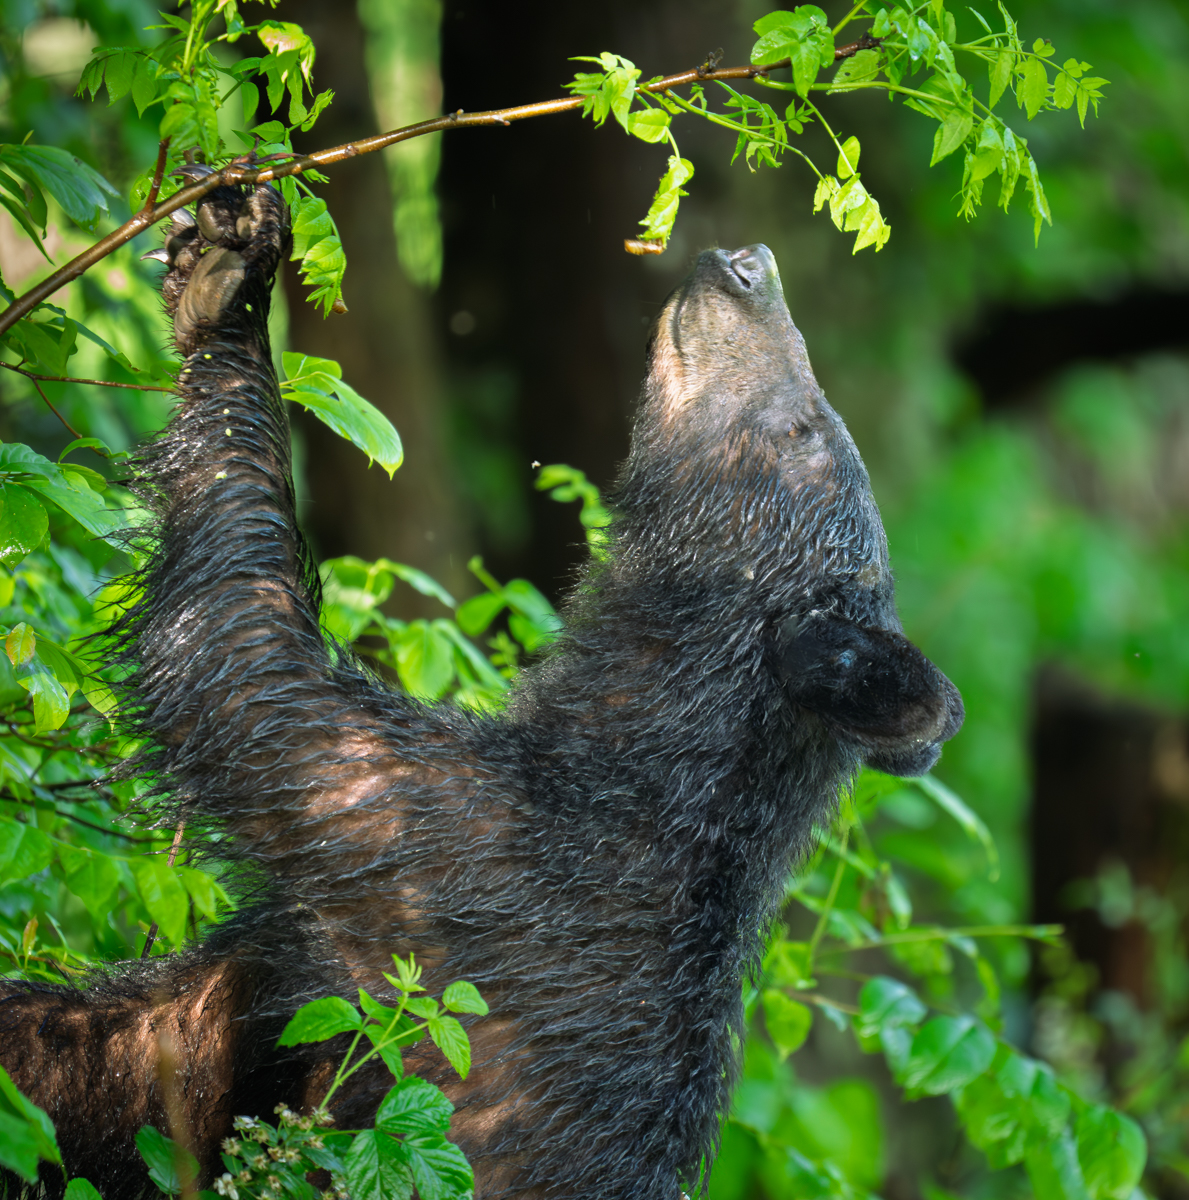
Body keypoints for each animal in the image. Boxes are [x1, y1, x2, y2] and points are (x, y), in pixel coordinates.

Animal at [0, 178, 962, 1200]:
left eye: (804, 429)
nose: (749, 263)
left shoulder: (439, 858)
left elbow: (244, 657)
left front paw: (229, 293)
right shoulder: (254, 995)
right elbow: (119, 1071)